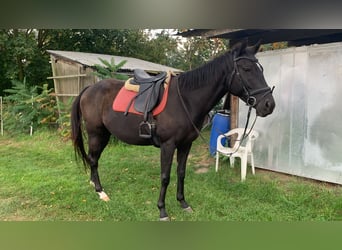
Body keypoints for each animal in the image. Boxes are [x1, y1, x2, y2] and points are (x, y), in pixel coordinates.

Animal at [70, 40, 276, 220]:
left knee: (93, 158)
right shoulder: (168, 145)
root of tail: (89, 88)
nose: (269, 105)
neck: (185, 99)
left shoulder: (186, 144)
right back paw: (100, 192)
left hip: (103, 134)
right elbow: (165, 177)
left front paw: (183, 203)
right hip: (96, 133)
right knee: (93, 159)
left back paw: (93, 184)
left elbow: (181, 173)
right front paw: (162, 210)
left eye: (261, 69)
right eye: (247, 69)